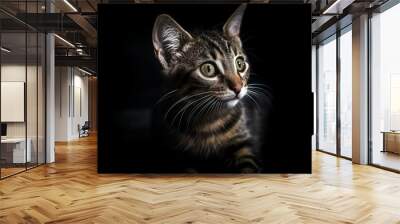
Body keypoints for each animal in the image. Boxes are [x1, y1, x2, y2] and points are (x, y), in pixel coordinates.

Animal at [152, 4, 268, 174]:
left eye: (240, 63)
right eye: (208, 69)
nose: (238, 87)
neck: (207, 121)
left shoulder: (243, 144)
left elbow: (248, 168)